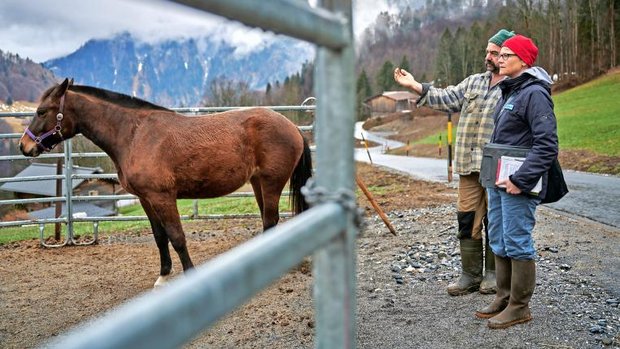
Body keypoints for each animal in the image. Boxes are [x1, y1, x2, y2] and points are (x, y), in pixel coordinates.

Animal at [21, 78, 312, 286]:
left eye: (42, 111)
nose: (24, 146)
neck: (135, 135)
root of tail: (293, 127)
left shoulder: (162, 197)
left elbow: (177, 237)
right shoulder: (146, 199)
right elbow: (160, 237)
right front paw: (163, 276)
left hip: (272, 182)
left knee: (270, 220)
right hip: (257, 183)